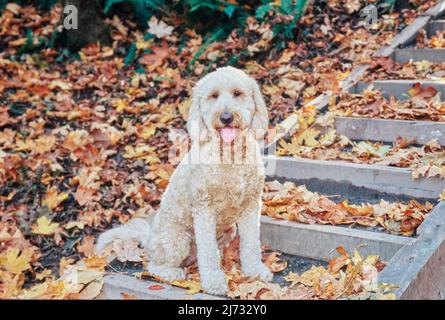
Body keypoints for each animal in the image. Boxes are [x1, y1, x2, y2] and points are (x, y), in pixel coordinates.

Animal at [95, 65, 272, 296]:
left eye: (237, 93)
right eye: (213, 96)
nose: (225, 117)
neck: (229, 156)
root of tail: (149, 237)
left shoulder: (251, 206)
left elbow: (251, 244)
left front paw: (255, 271)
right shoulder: (204, 210)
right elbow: (208, 253)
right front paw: (213, 282)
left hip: (229, 230)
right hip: (177, 239)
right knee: (154, 265)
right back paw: (175, 273)